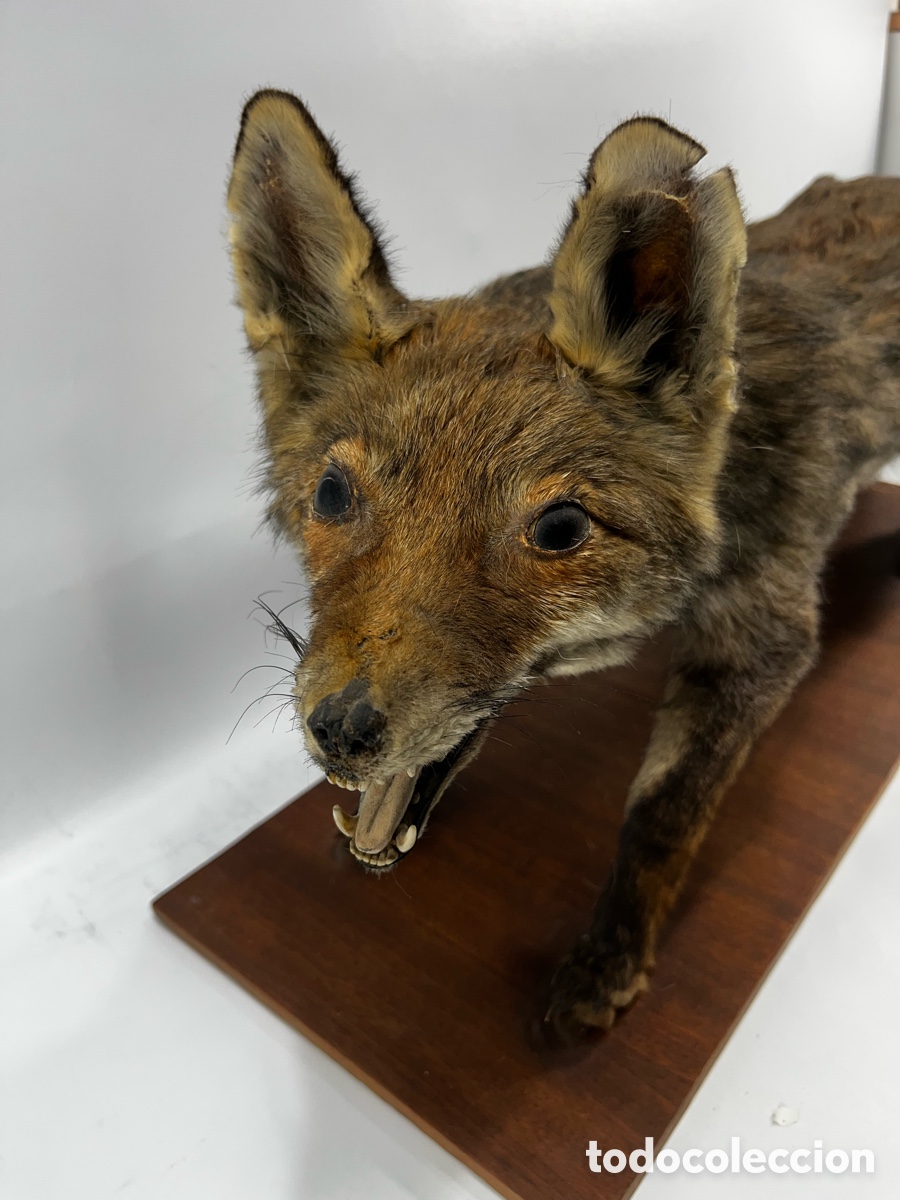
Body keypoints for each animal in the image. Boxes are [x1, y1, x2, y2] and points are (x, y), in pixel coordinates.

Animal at [226, 89, 900, 1034]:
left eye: (559, 529)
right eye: (330, 493)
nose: (344, 731)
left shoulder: (761, 636)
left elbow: (660, 814)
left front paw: (612, 956)